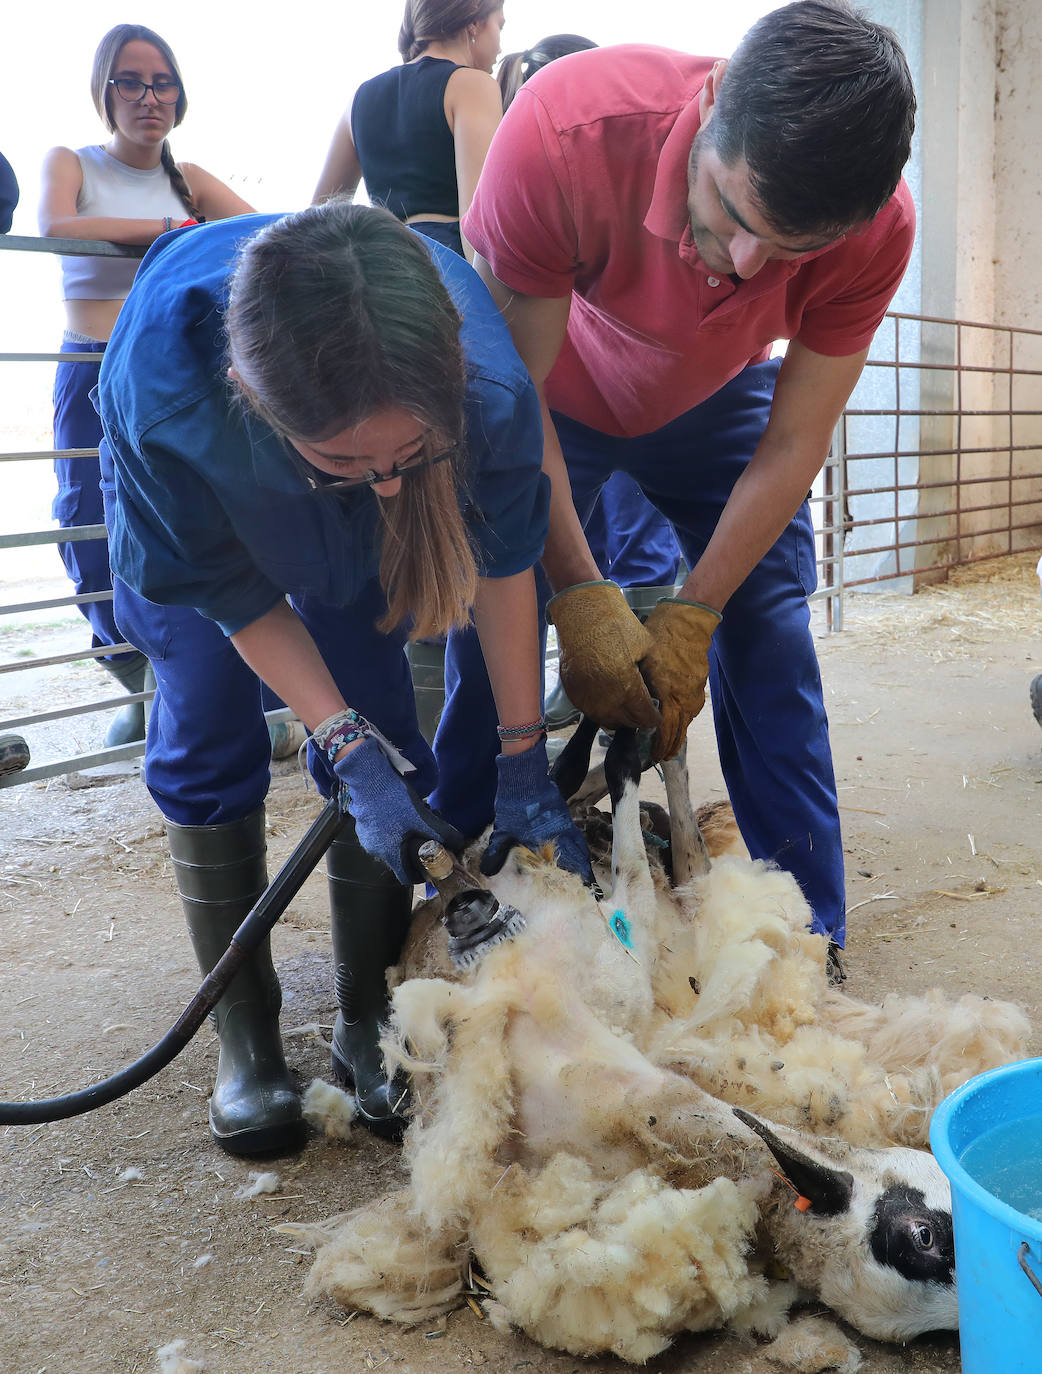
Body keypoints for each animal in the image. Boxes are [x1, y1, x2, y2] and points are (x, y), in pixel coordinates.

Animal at [290, 730, 1033, 1363]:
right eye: (925, 1237)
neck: (640, 1128)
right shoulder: (627, 991)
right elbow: (627, 869)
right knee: (617, 839)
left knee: (631, 837)